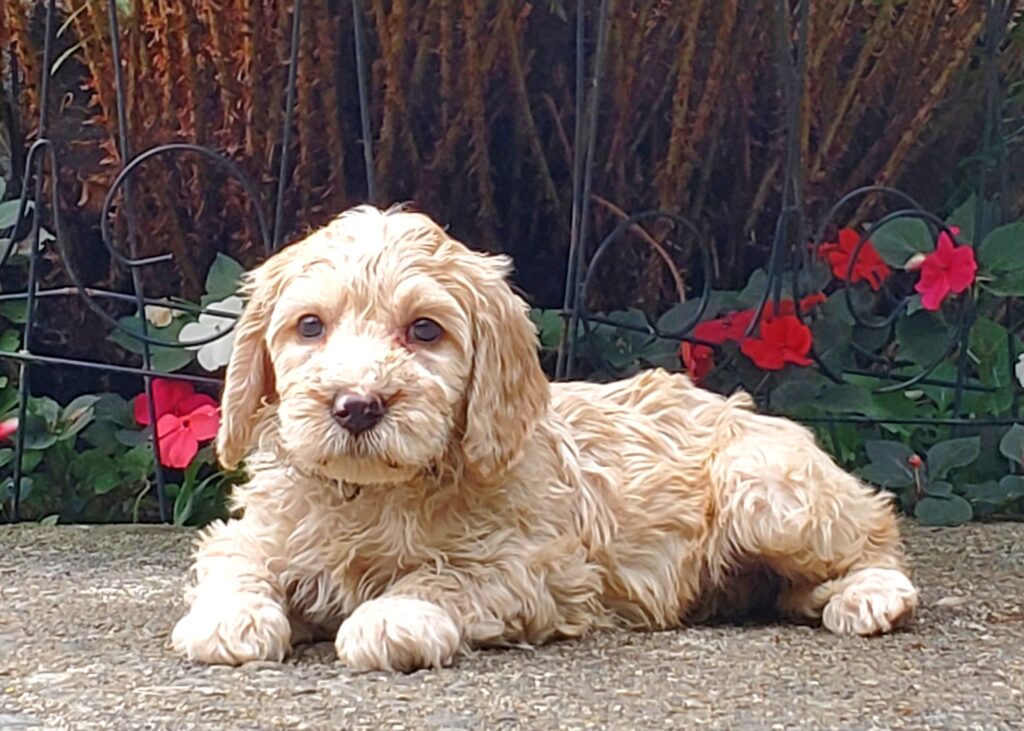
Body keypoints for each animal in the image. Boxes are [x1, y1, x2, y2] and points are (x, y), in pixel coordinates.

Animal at [169, 201, 921, 667]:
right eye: (310, 326)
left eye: (424, 330)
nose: (357, 406)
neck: (374, 495)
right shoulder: (257, 530)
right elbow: (236, 559)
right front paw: (230, 617)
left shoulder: (533, 568)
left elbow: (442, 577)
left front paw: (394, 615)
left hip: (765, 487)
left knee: (876, 533)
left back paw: (870, 593)